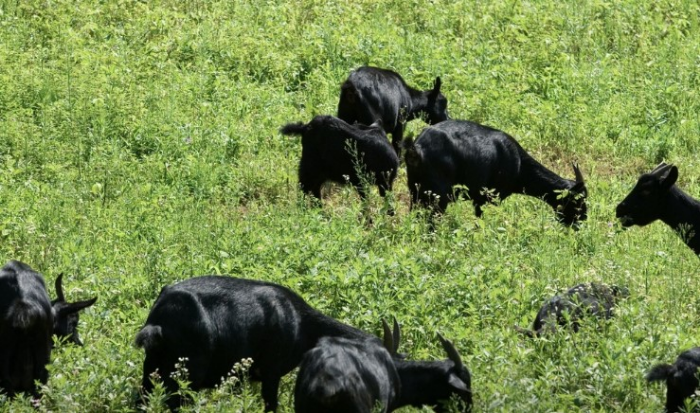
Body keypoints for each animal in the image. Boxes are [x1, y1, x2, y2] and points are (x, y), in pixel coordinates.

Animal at [135, 276, 380, 410]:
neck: (301, 321)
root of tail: (158, 322)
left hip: (152, 368)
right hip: (188, 372)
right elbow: (271, 404)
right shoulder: (272, 370)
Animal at [402, 119, 588, 227]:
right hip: (438, 196)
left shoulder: (478, 199)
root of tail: (417, 148)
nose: (583, 218)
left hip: (415, 191)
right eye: (578, 199)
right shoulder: (491, 198)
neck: (519, 164)